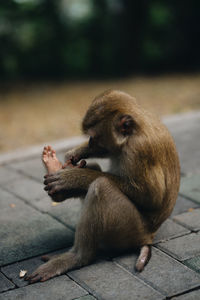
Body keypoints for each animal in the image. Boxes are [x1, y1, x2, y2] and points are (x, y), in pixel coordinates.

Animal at [25, 89, 180, 284]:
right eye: (90, 137)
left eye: (95, 135)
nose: (90, 141)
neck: (135, 130)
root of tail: (148, 237)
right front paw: (76, 153)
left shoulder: (139, 150)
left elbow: (151, 197)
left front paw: (75, 177)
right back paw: (55, 177)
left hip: (130, 229)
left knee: (101, 186)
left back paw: (77, 257)